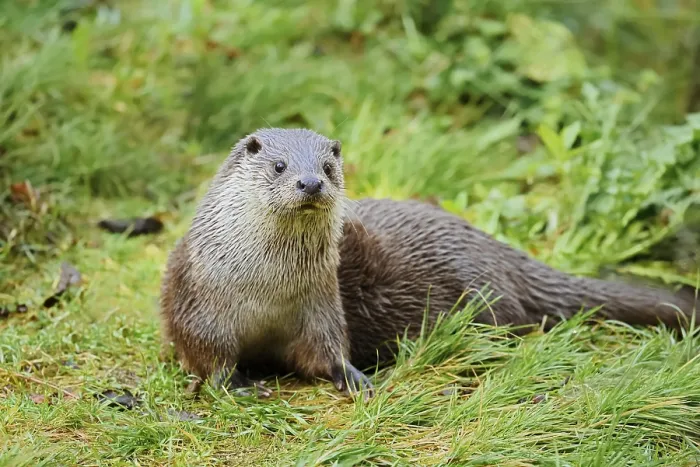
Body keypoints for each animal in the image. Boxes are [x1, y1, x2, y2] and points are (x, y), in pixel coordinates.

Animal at [160, 127, 698, 399]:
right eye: (279, 166)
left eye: (329, 167)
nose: (310, 182)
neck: (265, 289)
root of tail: (496, 248)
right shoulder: (196, 305)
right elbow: (206, 356)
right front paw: (233, 384)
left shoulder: (321, 306)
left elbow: (326, 351)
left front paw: (354, 378)